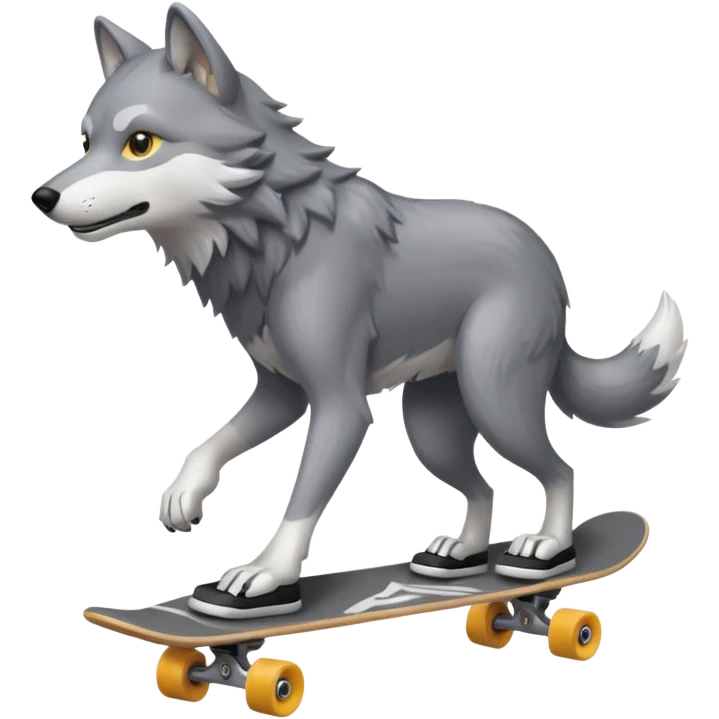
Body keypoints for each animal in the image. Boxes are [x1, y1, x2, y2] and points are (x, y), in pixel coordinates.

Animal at [32, 3, 687, 619]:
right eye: (86, 141)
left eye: (140, 143)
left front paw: (264, 581)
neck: (276, 238)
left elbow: (299, 504)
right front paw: (185, 493)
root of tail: (546, 259)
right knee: (483, 490)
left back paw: (548, 550)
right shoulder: (280, 392)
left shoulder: (341, 407)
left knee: (561, 470)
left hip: (493, 397)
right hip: (431, 426)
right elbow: (214, 440)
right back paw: (461, 555)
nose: (42, 196)